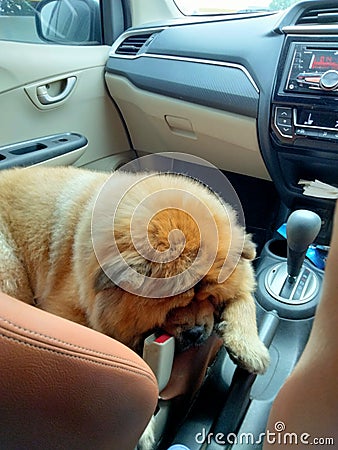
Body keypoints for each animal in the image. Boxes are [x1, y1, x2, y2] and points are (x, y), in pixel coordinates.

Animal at [0, 165, 270, 376]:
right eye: (172, 307)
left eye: (211, 298)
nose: (195, 333)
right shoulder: (65, 308)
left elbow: (245, 299)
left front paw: (250, 348)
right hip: (11, 272)